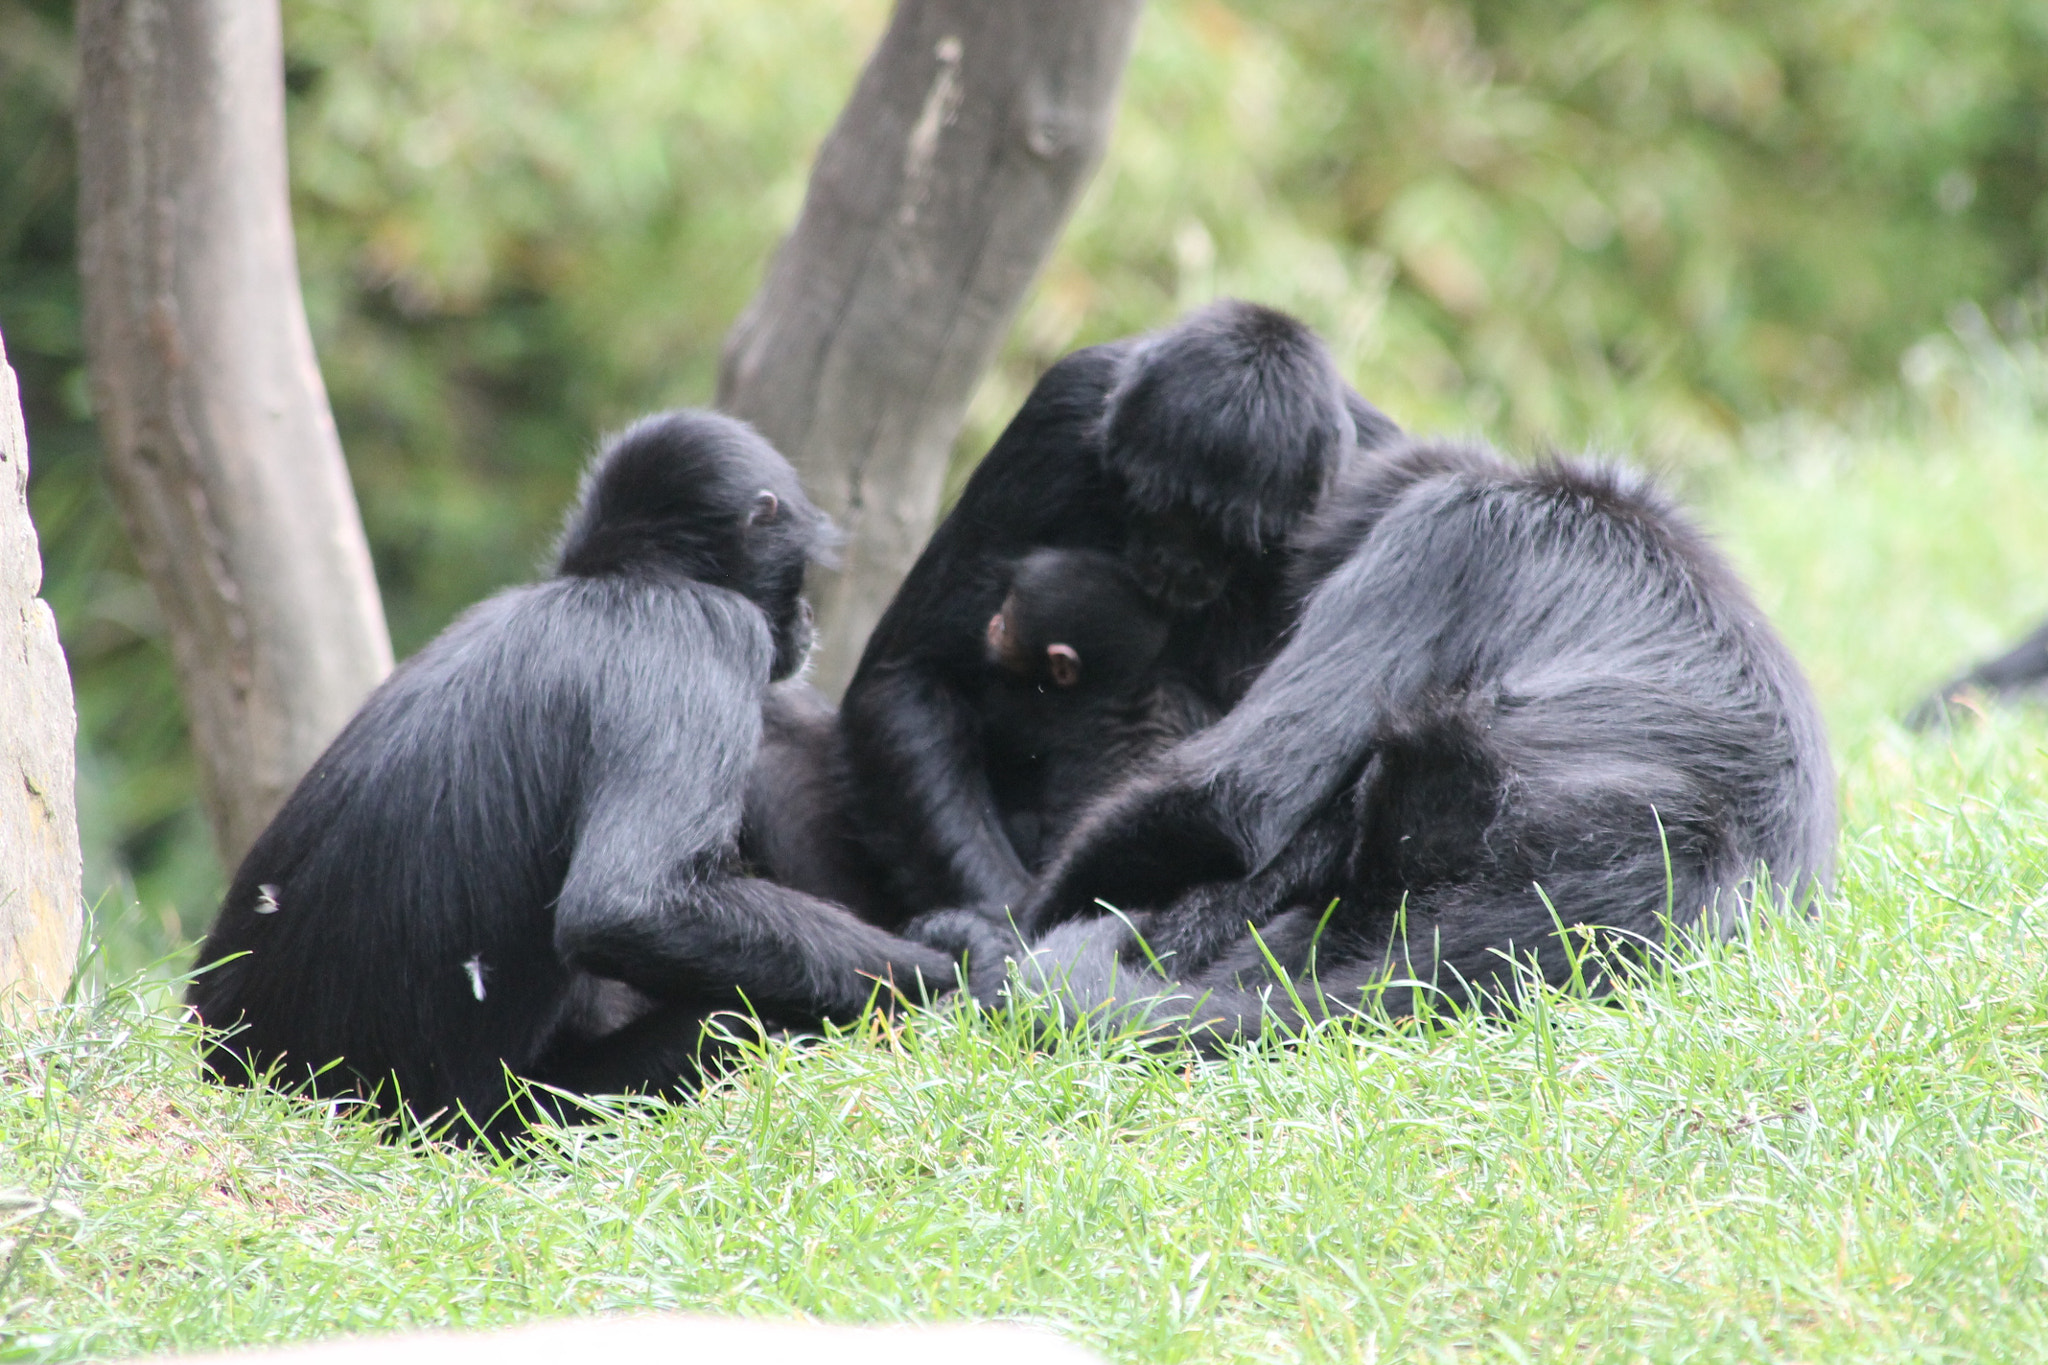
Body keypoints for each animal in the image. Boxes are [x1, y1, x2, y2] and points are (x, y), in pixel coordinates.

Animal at [188, 411, 962, 1146]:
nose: (803, 617)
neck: (615, 583)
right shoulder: (703, 633)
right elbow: (626, 910)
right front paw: (955, 973)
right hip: (517, 1116)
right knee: (724, 1023)